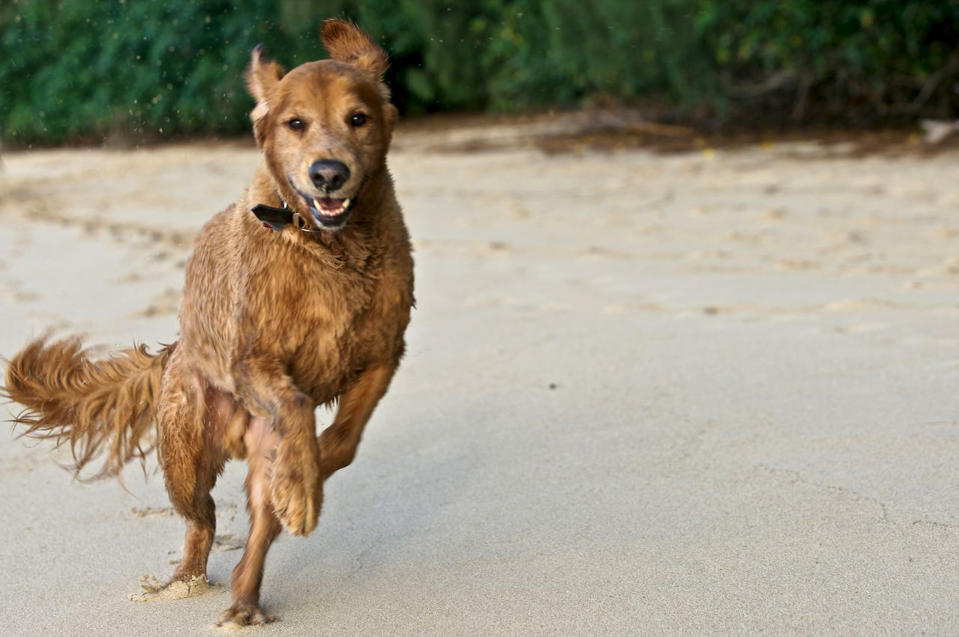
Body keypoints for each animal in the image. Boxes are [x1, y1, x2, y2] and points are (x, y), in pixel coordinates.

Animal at [0, 19, 412, 628]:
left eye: (357, 118)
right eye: (296, 123)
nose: (328, 174)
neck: (328, 246)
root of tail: (175, 352)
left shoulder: (384, 352)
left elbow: (343, 439)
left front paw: (306, 479)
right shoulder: (250, 357)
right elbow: (295, 403)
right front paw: (304, 486)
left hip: (245, 450)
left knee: (255, 525)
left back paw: (244, 599)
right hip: (185, 451)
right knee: (203, 518)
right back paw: (184, 584)